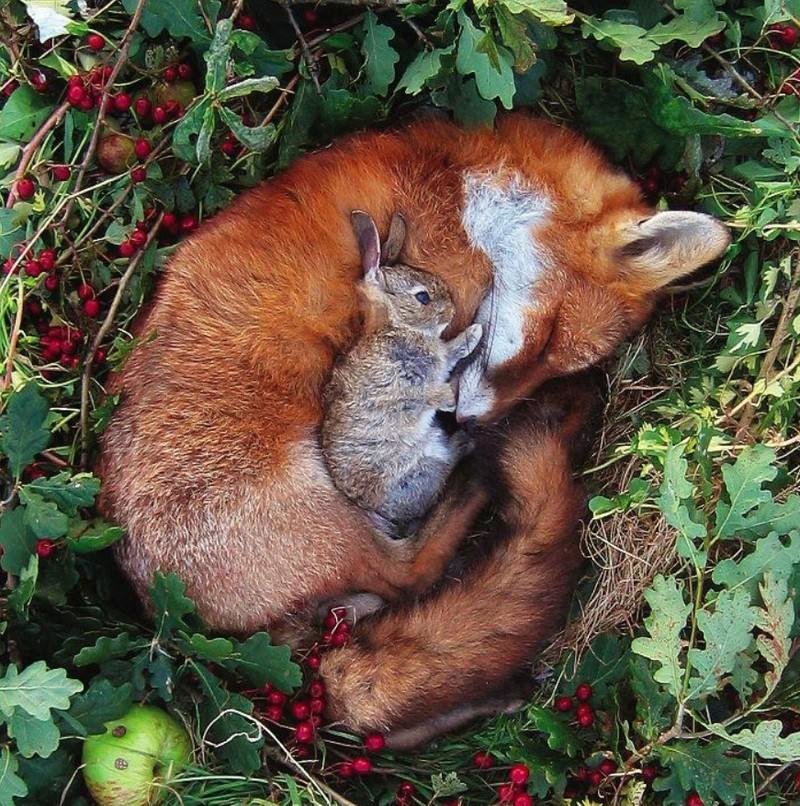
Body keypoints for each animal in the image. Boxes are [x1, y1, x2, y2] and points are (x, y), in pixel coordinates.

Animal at [321, 210, 483, 532]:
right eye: (423, 298)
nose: (451, 311)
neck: (397, 325)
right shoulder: (404, 382)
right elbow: (429, 391)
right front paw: (452, 394)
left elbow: (450, 352)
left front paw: (473, 333)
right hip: (420, 466)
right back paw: (464, 440)